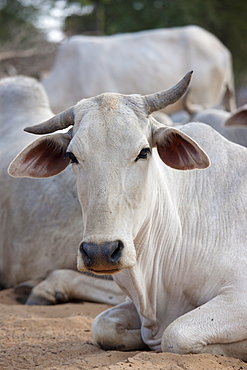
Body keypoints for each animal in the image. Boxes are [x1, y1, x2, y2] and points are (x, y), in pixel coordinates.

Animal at [8, 73, 247, 362]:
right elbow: (103, 327)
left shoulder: (237, 296)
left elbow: (176, 334)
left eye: (144, 151)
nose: (100, 252)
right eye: (71, 156)